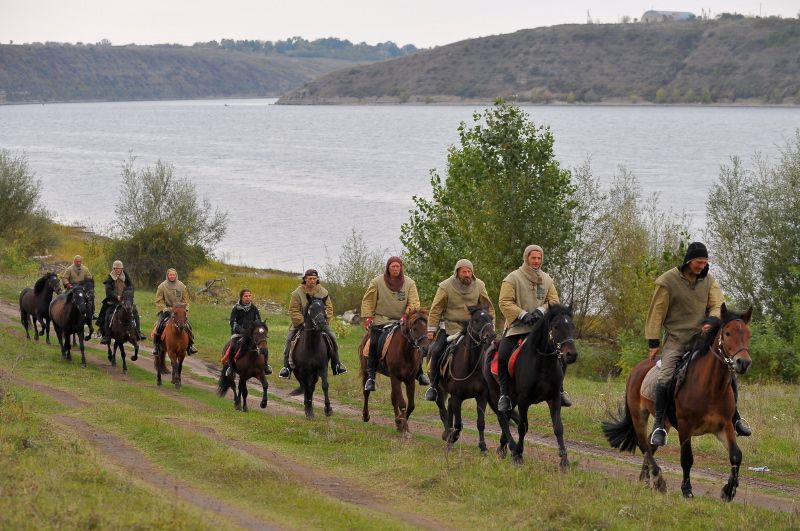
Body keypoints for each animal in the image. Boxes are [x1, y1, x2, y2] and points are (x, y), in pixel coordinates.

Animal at [360, 308, 428, 436]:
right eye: (414, 328)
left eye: (427, 327)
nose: (425, 349)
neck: (406, 353)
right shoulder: (396, 378)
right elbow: (402, 404)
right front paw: (402, 424)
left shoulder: (409, 381)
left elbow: (410, 405)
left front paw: (402, 424)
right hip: (366, 371)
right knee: (366, 392)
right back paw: (366, 416)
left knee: (393, 399)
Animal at [434, 308, 496, 454]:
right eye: (476, 320)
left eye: (491, 318)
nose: (491, 336)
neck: (470, 365)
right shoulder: (458, 397)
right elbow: (458, 424)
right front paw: (452, 437)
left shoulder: (481, 397)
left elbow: (481, 423)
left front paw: (483, 447)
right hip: (440, 391)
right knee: (443, 411)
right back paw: (447, 435)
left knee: (449, 409)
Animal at [482, 306, 576, 468]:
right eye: (556, 327)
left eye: (572, 326)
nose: (571, 355)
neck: (543, 363)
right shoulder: (523, 401)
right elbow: (522, 427)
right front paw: (519, 455)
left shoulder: (554, 398)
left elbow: (558, 428)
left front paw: (564, 461)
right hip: (496, 394)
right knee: (503, 419)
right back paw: (512, 448)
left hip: (512, 398)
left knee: (506, 417)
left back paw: (502, 448)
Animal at [604, 304, 752, 502]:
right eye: (727, 333)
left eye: (748, 335)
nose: (743, 362)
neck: (711, 388)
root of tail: (637, 369)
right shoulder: (685, 427)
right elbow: (687, 458)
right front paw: (687, 489)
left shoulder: (725, 426)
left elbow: (736, 455)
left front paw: (729, 491)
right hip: (638, 415)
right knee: (644, 446)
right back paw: (659, 480)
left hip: (664, 422)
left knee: (652, 443)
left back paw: (645, 479)